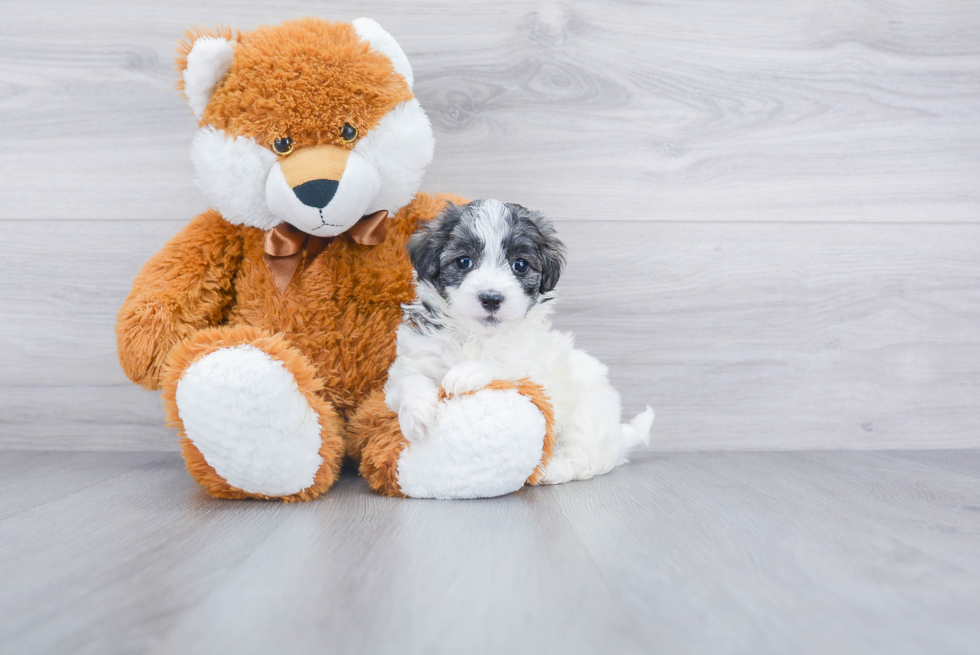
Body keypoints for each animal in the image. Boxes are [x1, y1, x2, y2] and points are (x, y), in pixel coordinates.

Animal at [386, 197, 656, 484]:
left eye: (520, 265)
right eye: (464, 262)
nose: (491, 298)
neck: (479, 335)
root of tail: (619, 438)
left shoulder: (533, 369)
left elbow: (501, 363)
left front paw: (465, 373)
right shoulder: (414, 357)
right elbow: (409, 380)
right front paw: (415, 416)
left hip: (589, 414)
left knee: (584, 457)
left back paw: (552, 469)